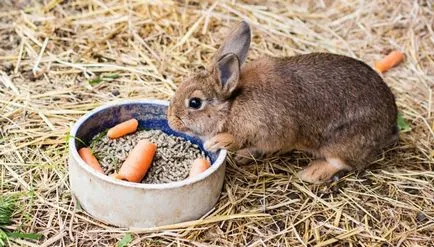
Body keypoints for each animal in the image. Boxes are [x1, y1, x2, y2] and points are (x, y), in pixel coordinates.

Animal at [168, 20, 398, 183]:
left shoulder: (269, 130)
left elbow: (242, 139)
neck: (232, 104)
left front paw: (218, 142)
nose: (171, 120)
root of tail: (391, 124)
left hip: (342, 144)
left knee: (343, 163)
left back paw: (312, 173)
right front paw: (242, 155)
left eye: (195, 103)